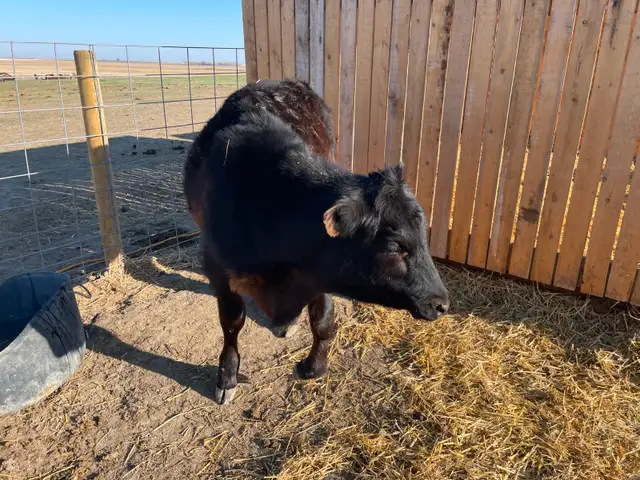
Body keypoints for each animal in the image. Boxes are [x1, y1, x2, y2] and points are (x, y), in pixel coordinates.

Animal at [184, 79, 449, 405]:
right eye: (395, 247)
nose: (442, 304)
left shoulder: (319, 272)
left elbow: (323, 320)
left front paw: (313, 366)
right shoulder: (216, 267)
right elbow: (232, 322)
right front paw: (227, 376)